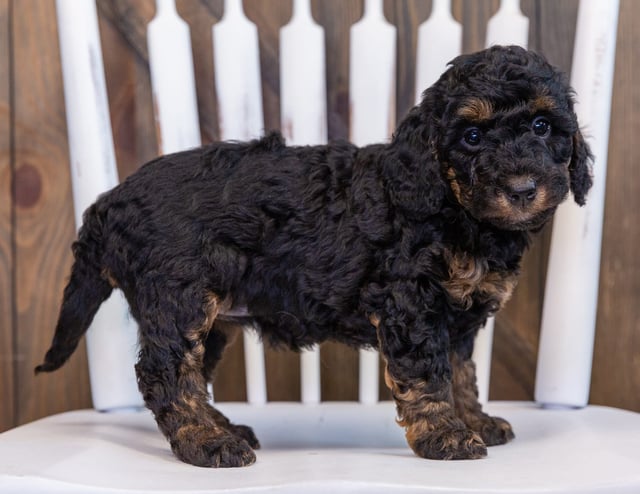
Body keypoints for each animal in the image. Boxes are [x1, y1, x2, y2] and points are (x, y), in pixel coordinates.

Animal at [37, 44, 592, 466]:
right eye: (472, 137)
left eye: (542, 127)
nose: (522, 189)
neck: (453, 208)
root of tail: (109, 201)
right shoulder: (411, 303)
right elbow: (428, 372)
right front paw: (445, 434)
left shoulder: (456, 317)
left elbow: (462, 371)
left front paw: (474, 419)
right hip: (179, 296)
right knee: (166, 372)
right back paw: (207, 442)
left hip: (209, 315)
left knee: (191, 371)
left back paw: (223, 427)